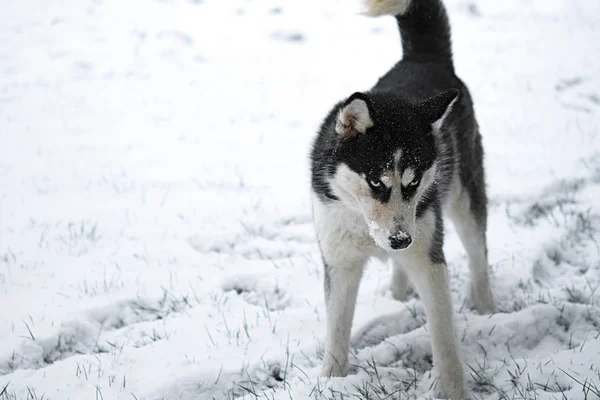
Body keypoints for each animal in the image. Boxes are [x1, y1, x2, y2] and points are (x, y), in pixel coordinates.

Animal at [312, 0, 494, 396]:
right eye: (375, 182)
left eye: (413, 182)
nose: (399, 239)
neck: (366, 223)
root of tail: (423, 57)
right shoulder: (340, 260)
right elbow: (336, 334)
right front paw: (331, 381)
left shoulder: (428, 257)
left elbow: (444, 340)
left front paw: (454, 391)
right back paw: (396, 293)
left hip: (463, 199)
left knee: (478, 258)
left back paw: (489, 310)